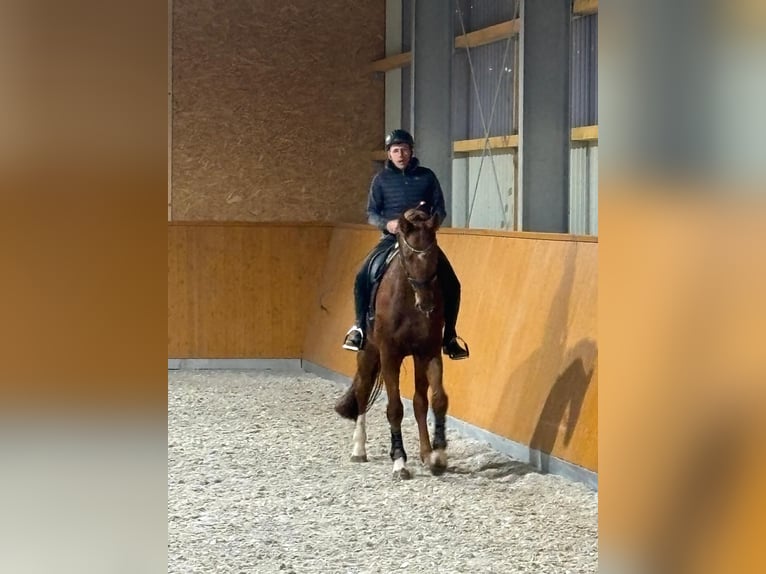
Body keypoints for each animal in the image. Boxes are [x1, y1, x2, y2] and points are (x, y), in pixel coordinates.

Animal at [335, 206, 449, 479]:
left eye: (434, 254)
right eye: (407, 256)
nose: (426, 304)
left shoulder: (428, 352)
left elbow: (437, 399)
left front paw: (438, 455)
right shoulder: (389, 355)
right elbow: (395, 408)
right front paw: (399, 462)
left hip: (416, 358)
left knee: (419, 402)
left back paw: (425, 452)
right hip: (368, 352)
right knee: (363, 392)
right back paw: (358, 450)